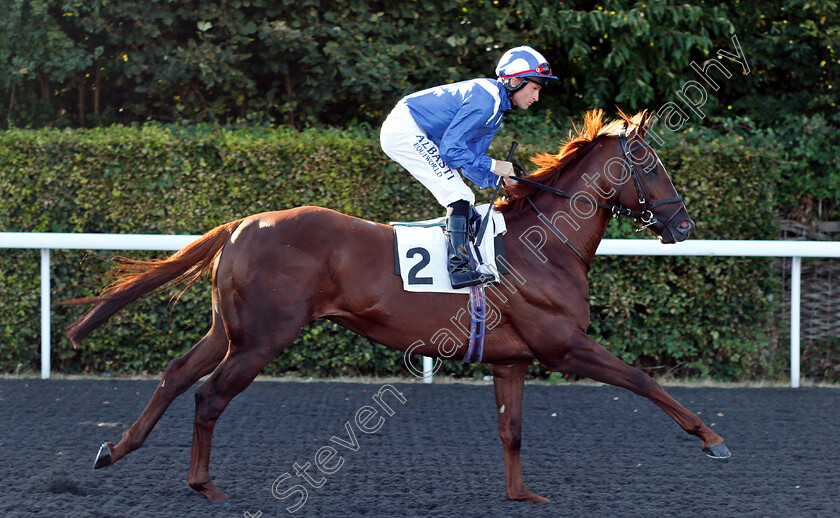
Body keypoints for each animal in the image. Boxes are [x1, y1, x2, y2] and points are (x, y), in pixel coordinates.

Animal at [67, 109, 728, 504]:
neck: (546, 245)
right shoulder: (563, 345)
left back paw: (114, 449)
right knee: (208, 396)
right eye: (651, 165)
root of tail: (242, 223)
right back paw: (204, 486)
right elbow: (642, 379)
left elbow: (512, 429)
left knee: (176, 374)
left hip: (230, 330)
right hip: (262, 339)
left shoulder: (511, 360)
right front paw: (712, 438)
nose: (684, 225)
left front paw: (521, 496)